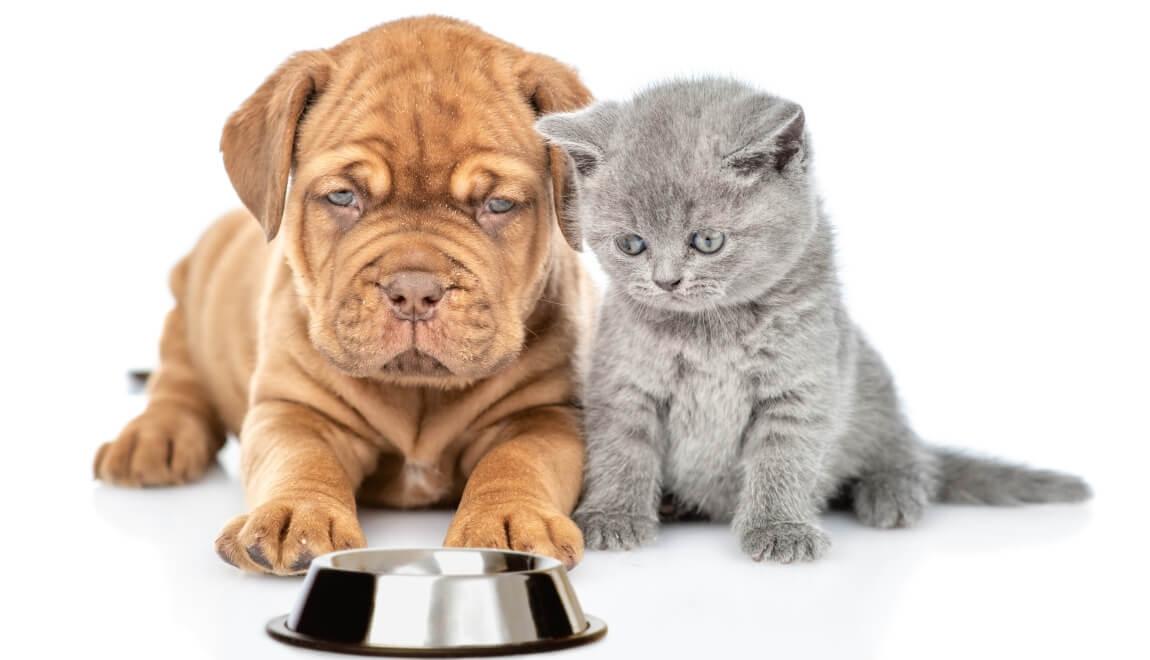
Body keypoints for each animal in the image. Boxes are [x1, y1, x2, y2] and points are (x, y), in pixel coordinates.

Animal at [94, 15, 598, 574]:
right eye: (342, 196)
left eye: (499, 204)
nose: (414, 290)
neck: (418, 392)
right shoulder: (293, 409)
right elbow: (301, 459)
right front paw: (296, 513)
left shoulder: (547, 414)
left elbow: (518, 460)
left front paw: (509, 521)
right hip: (188, 301)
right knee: (178, 382)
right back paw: (152, 439)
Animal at [533, 77, 1090, 563]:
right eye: (632, 244)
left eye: (707, 241)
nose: (667, 281)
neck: (711, 331)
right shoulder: (623, 381)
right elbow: (622, 449)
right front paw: (614, 516)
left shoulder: (801, 387)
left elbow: (784, 459)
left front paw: (780, 528)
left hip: (872, 384)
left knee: (910, 454)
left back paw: (891, 493)